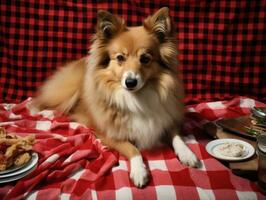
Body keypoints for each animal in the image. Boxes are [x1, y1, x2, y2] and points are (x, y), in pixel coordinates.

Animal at [33, 7, 198, 188]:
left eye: (145, 59)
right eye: (120, 58)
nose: (130, 82)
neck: (136, 98)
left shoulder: (166, 120)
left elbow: (177, 137)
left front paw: (187, 154)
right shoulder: (109, 134)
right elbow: (133, 149)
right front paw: (139, 171)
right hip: (68, 90)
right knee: (46, 102)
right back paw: (44, 112)